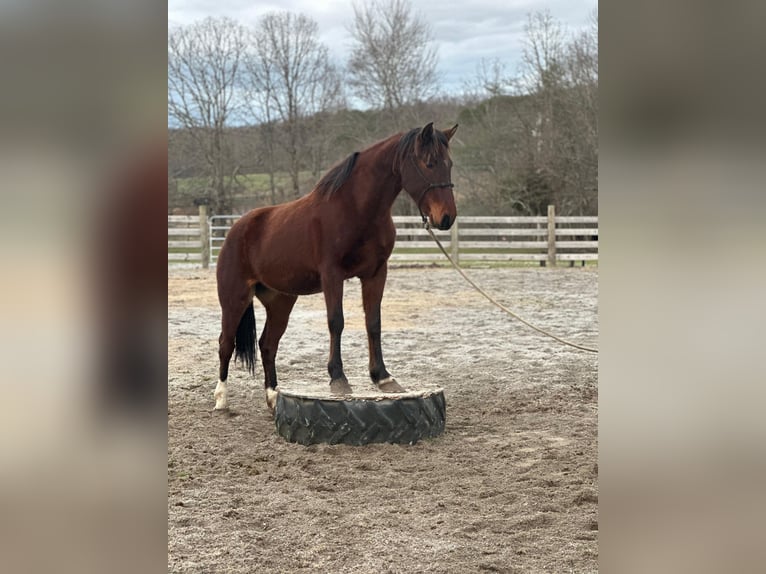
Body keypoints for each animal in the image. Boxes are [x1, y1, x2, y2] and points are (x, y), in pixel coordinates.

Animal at [213, 122, 458, 411]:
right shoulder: (332, 275)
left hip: (280, 301)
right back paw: (221, 398)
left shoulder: (376, 273)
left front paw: (383, 378)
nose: (447, 217)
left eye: (449, 163)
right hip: (235, 298)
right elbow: (336, 321)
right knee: (226, 343)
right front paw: (339, 379)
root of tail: (237, 228)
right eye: (429, 163)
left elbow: (373, 322)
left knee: (268, 344)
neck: (356, 209)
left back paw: (273, 396)